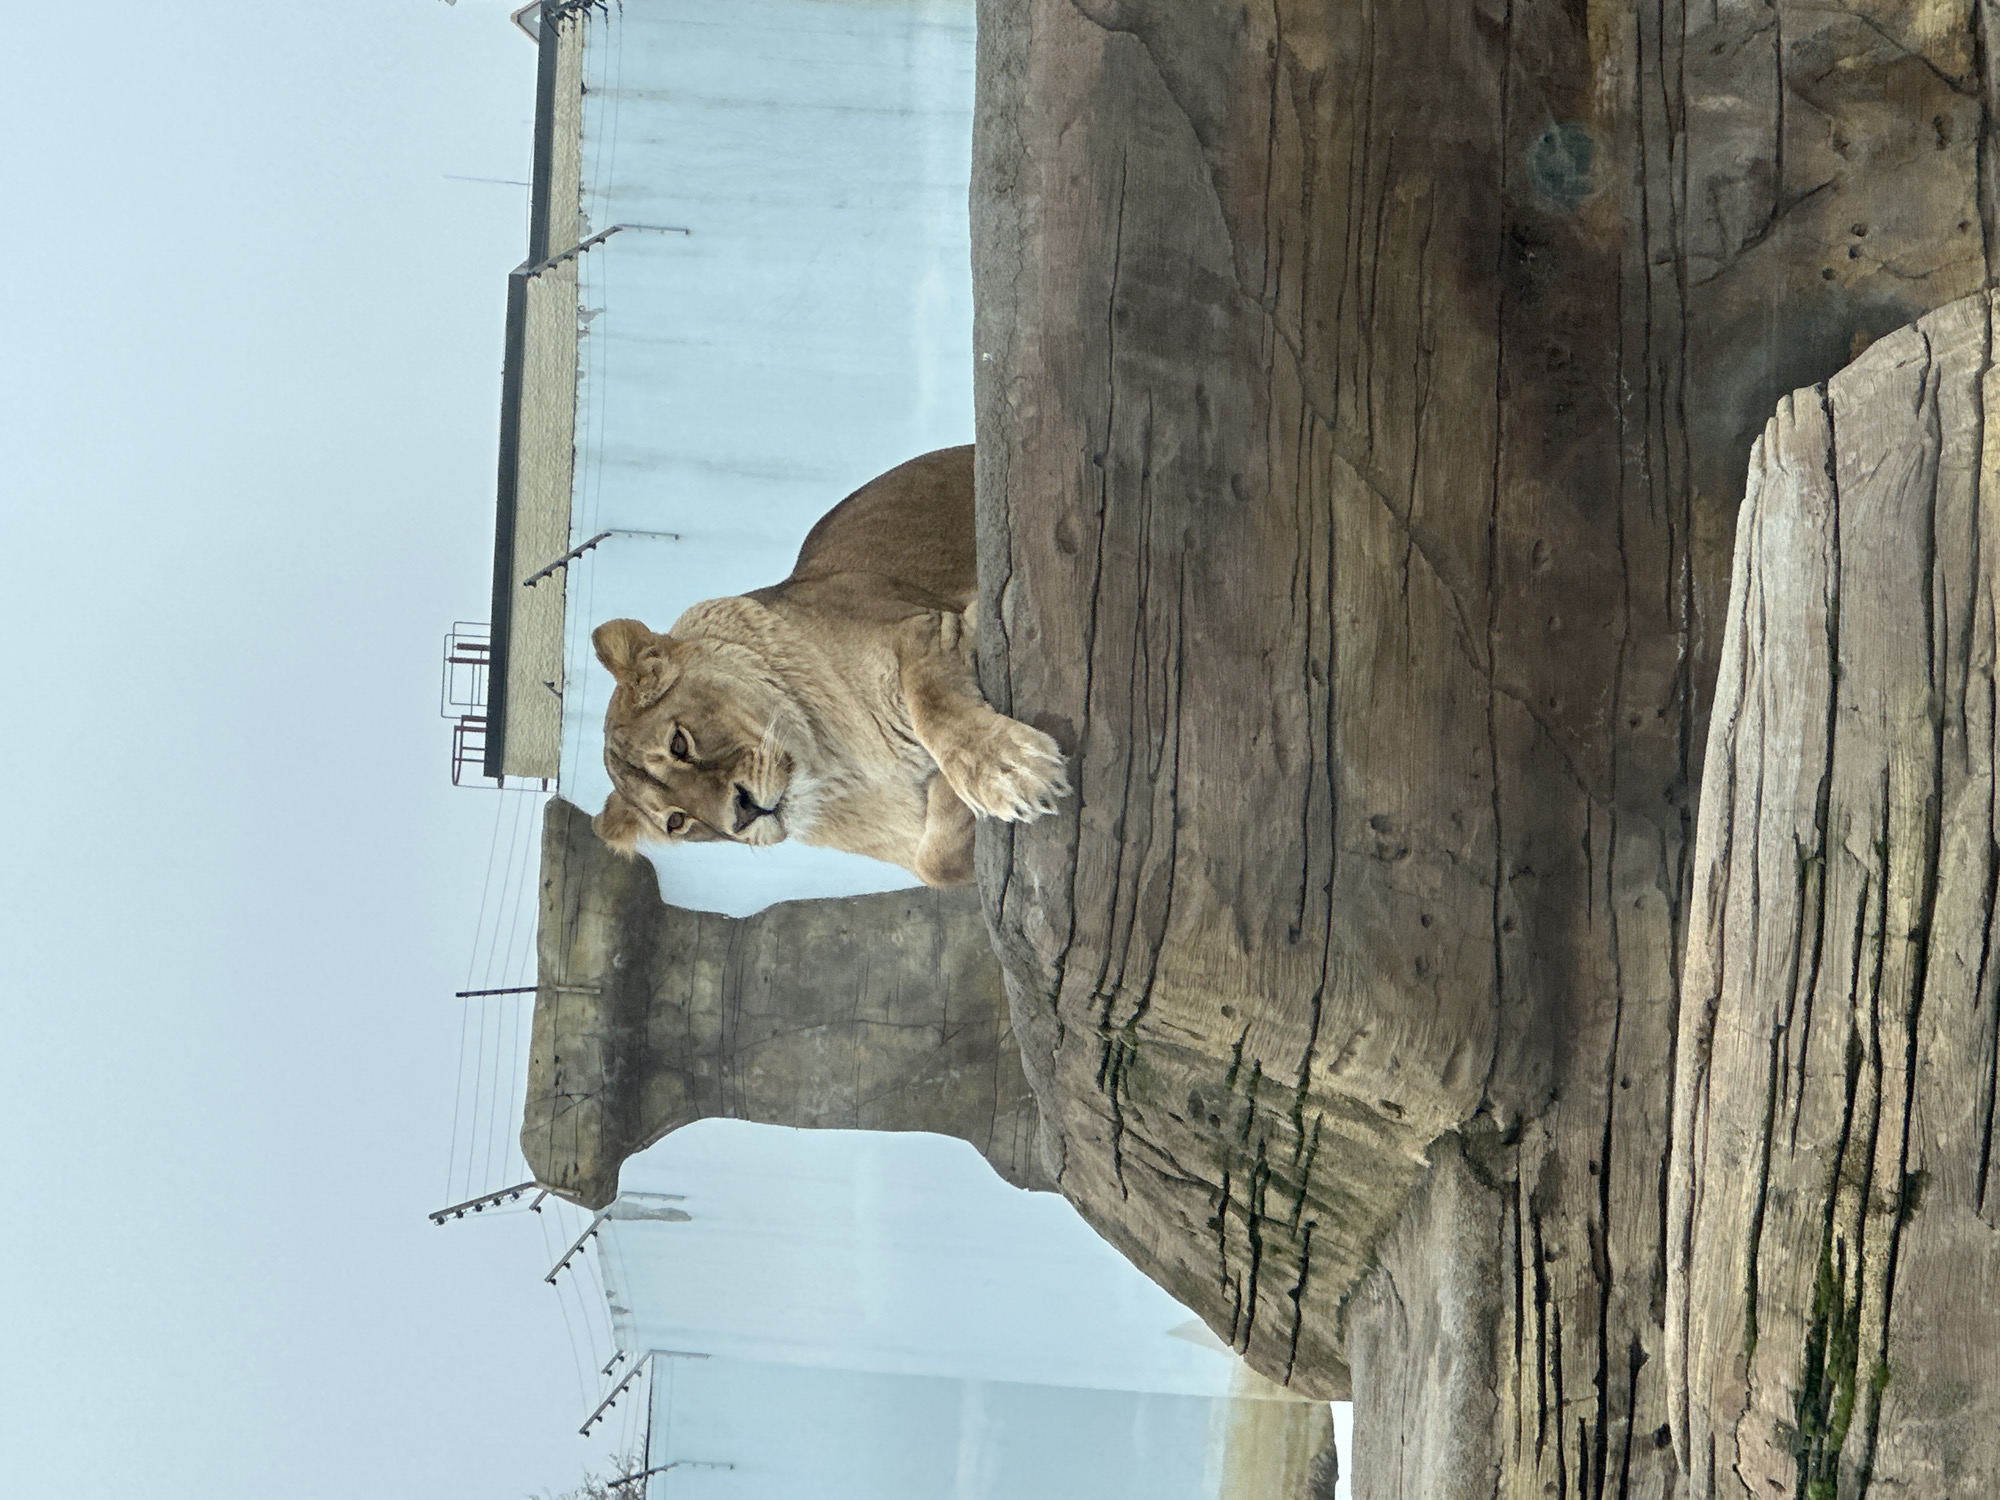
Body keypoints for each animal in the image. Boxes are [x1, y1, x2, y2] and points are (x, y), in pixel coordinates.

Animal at [590, 445, 1068, 887]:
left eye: (678, 744)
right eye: (676, 821)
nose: (742, 815)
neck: (837, 770)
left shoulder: (920, 627)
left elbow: (933, 704)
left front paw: (1008, 771)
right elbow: (937, 864)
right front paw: (957, 794)